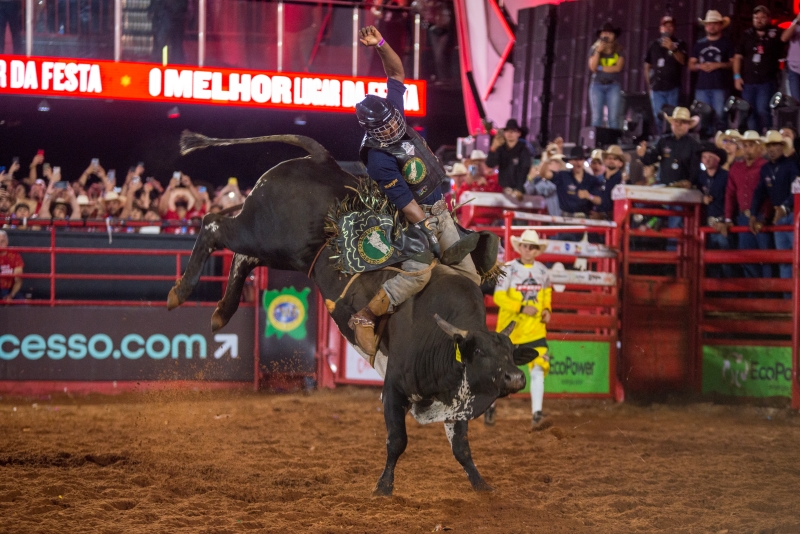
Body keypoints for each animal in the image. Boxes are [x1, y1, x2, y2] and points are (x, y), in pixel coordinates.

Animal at [169, 131, 532, 498]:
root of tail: (321, 160)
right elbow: (397, 440)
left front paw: (482, 485)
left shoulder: (453, 402)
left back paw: (220, 312)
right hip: (262, 232)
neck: (443, 340)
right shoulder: (394, 388)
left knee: (241, 256)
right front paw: (383, 487)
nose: (515, 378)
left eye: (510, 352)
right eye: (480, 352)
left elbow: (461, 448)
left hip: (276, 248)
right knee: (212, 226)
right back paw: (179, 292)